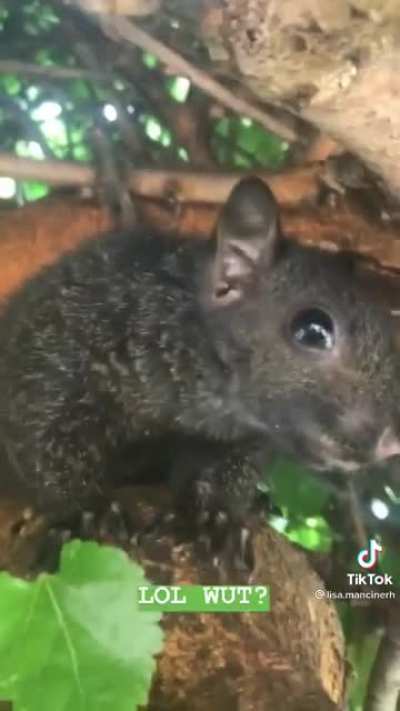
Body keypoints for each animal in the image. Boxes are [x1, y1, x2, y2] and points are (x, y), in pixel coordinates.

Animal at [0, 177, 399, 548]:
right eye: (313, 330)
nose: (392, 442)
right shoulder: (49, 352)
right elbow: (43, 446)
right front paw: (86, 509)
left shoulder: (244, 438)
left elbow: (232, 471)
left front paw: (215, 517)